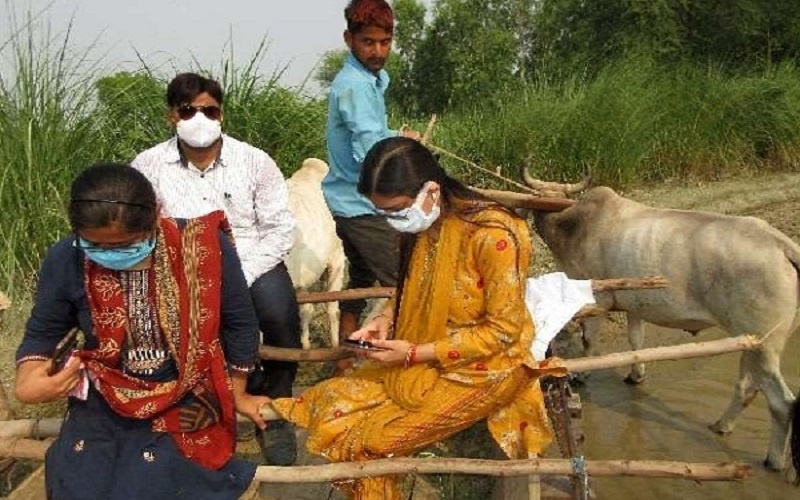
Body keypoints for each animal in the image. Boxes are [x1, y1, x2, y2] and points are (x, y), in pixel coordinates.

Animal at [532, 186, 800, 470]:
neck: (572, 224)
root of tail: (784, 246)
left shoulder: (596, 298)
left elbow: (589, 340)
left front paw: (581, 375)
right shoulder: (634, 305)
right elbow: (635, 340)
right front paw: (635, 375)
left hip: (764, 346)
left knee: (782, 403)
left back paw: (773, 460)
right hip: (750, 342)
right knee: (747, 388)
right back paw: (721, 425)